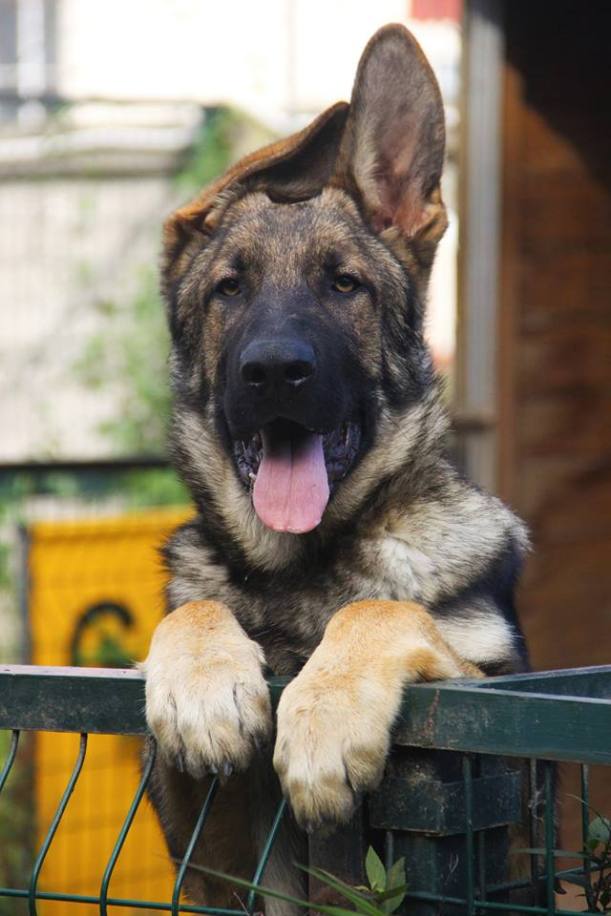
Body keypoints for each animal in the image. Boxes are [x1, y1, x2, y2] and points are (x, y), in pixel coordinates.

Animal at [143, 23, 529, 912]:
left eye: (343, 284)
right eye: (227, 290)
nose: (273, 371)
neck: (304, 570)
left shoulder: (494, 727)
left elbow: (384, 611)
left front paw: (322, 717)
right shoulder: (204, 852)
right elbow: (191, 612)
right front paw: (204, 688)